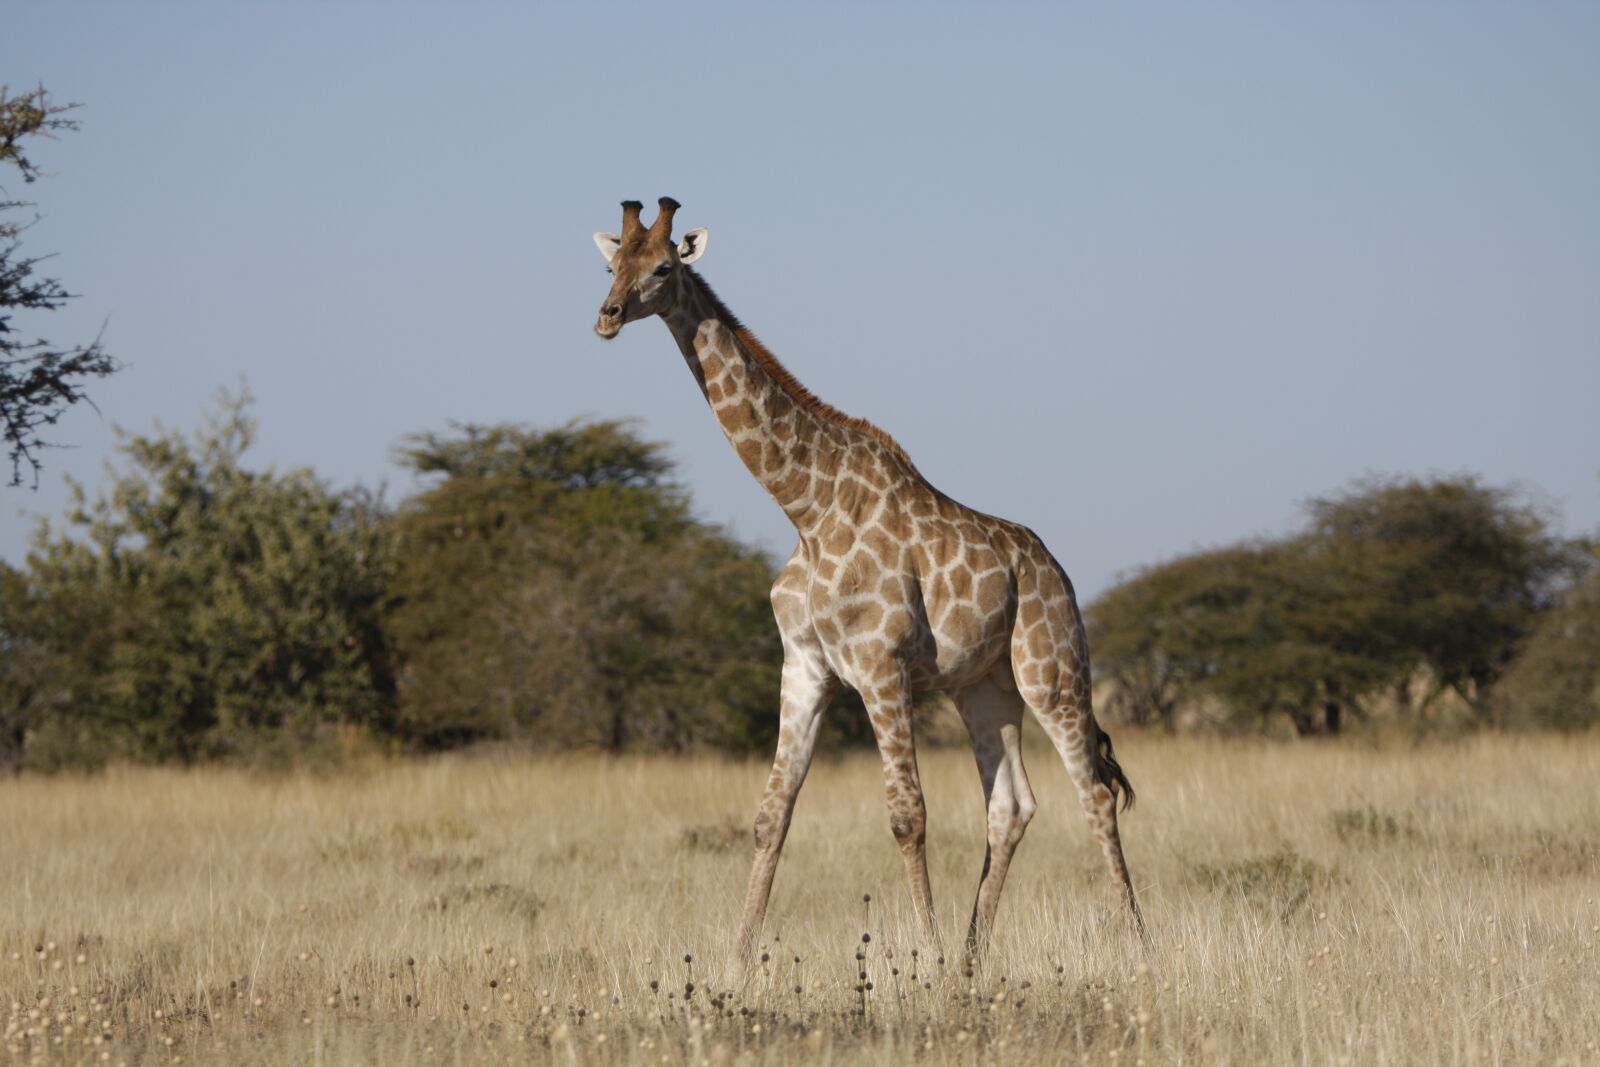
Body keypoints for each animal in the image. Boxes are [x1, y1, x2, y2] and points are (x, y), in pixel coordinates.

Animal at [592, 198, 1142, 975]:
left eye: (664, 267)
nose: (607, 315)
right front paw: (736, 964)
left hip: (1053, 669)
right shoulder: (804, 665)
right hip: (983, 686)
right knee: (1011, 805)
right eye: (613, 262)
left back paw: (1139, 949)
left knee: (1092, 791)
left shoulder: (882, 666)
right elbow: (771, 815)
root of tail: (1056, 570)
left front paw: (930, 961)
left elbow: (907, 816)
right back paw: (974, 959)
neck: (805, 507)